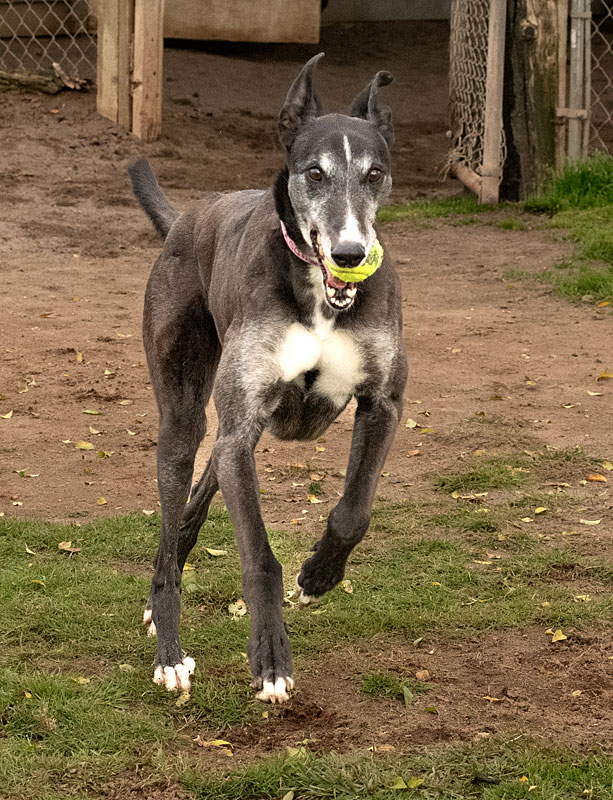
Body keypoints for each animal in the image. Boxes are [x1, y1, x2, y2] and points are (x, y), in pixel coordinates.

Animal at [129, 53, 406, 704]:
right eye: (315, 172)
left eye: (375, 173)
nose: (351, 253)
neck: (321, 297)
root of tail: (186, 220)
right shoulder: (240, 422)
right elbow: (258, 553)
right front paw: (271, 657)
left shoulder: (383, 403)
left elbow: (354, 511)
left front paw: (319, 574)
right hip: (183, 418)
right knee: (177, 501)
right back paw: (169, 648)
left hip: (238, 434)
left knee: (200, 495)